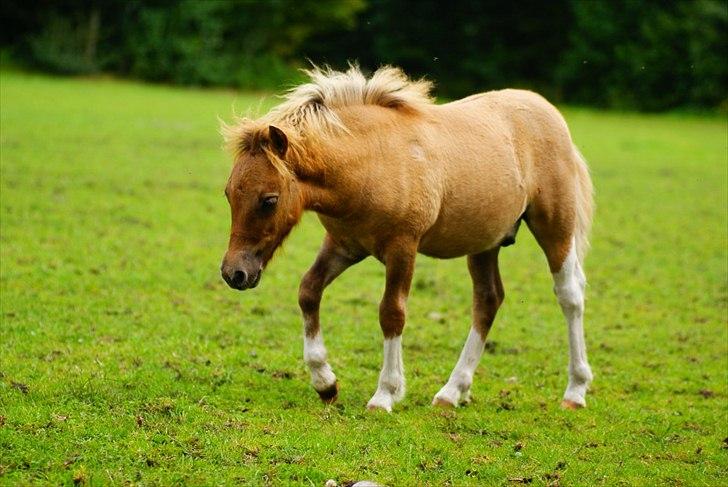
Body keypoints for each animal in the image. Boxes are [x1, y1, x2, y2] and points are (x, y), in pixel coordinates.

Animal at [219, 66, 596, 412]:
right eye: (229, 194)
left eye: (269, 200)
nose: (234, 273)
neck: (371, 163)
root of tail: (549, 112)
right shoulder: (344, 244)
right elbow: (308, 291)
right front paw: (325, 382)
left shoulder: (403, 247)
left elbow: (392, 313)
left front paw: (385, 394)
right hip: (485, 242)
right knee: (488, 301)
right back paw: (451, 392)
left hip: (554, 226)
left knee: (569, 295)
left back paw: (575, 391)